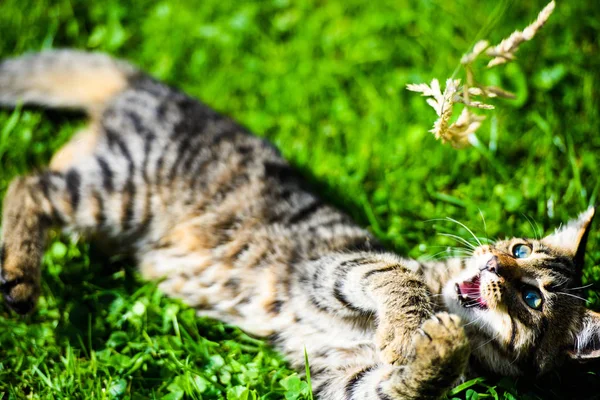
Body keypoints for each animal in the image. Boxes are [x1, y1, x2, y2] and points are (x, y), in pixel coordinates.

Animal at [1, 50, 600, 400]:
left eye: (532, 299)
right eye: (519, 250)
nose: (493, 263)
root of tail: (150, 87)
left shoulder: (346, 378)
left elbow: (404, 385)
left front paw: (437, 351)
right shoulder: (337, 267)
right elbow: (399, 280)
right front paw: (411, 331)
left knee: (38, 178)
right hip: (119, 191)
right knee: (28, 185)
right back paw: (20, 279)